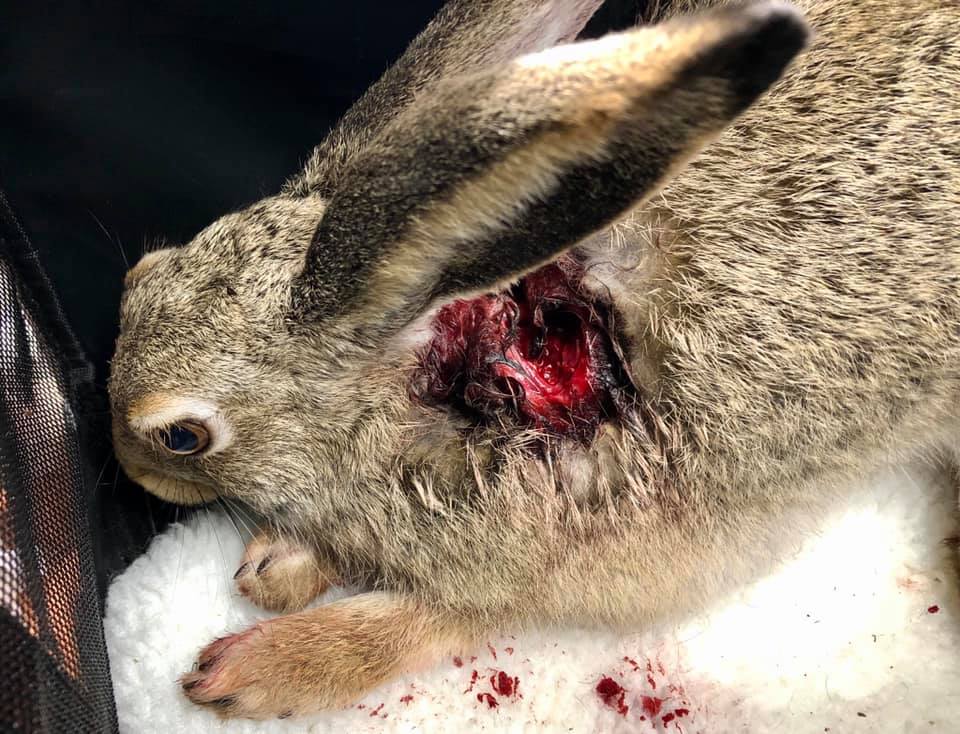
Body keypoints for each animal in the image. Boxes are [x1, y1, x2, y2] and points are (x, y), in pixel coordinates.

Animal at [107, 0, 960, 720]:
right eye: (138, 275)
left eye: (181, 436)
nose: (125, 465)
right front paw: (278, 562)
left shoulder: (555, 566)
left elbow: (431, 620)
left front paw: (256, 668)